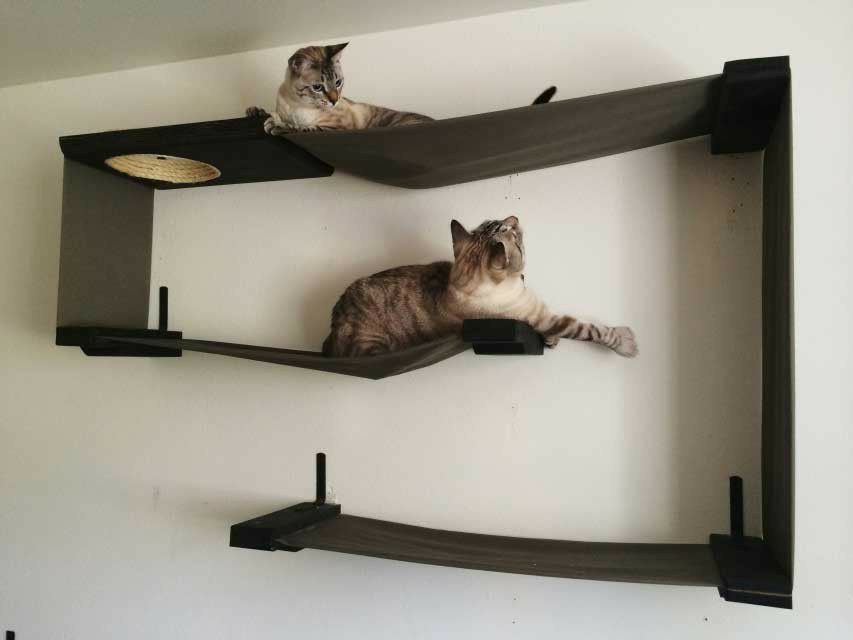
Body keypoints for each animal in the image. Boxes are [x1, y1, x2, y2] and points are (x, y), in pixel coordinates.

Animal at [246, 43, 558, 133]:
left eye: (338, 83)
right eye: (318, 87)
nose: (334, 100)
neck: (297, 106)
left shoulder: (337, 126)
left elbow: (303, 127)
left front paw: (279, 126)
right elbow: (271, 113)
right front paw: (257, 112)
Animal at [322, 216, 637, 359]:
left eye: (495, 223)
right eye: (512, 233)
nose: (515, 218)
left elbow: (554, 334)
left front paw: (551, 342)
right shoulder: (546, 319)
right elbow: (589, 330)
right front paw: (626, 343)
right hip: (371, 344)